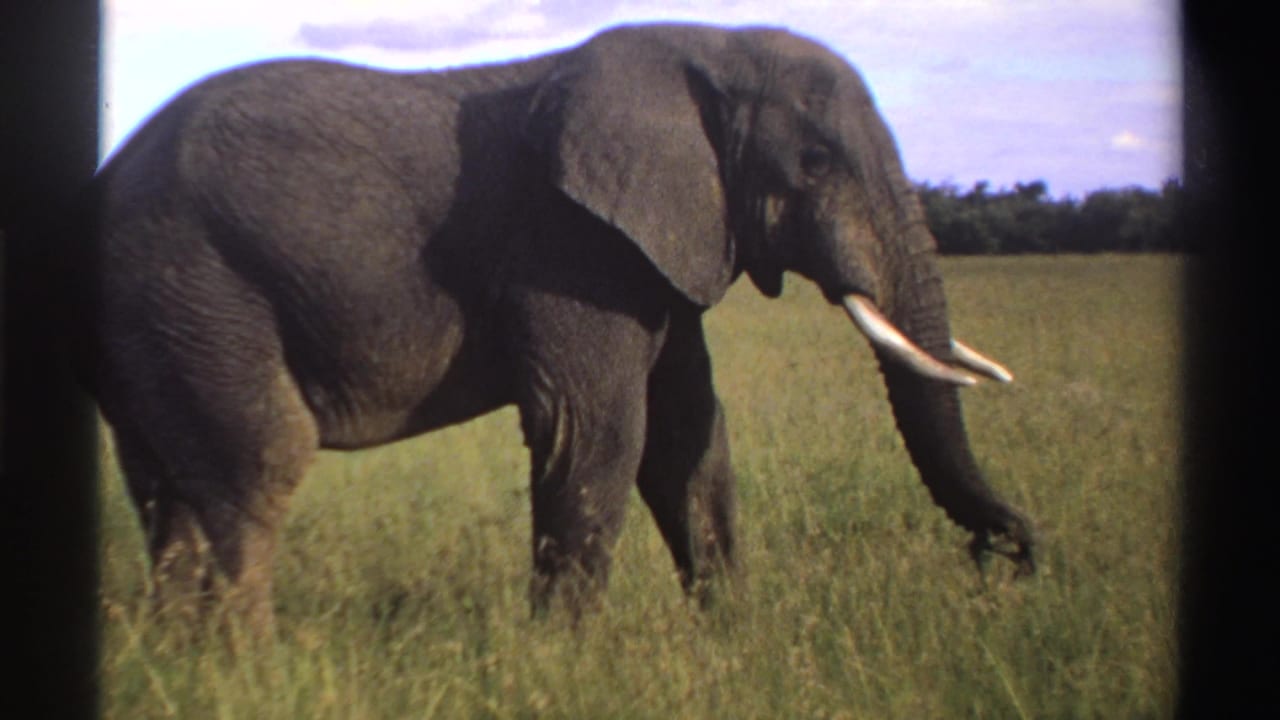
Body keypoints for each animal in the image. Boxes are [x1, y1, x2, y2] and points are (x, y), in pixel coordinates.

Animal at [69, 22, 1034, 633]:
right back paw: (251, 666)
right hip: (194, 282)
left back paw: (184, 660)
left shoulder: (649, 250)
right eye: (815, 162)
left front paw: (733, 638)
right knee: (255, 465)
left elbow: (690, 438)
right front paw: (567, 659)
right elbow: (599, 430)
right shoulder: (569, 245)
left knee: (167, 489)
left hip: (154, 316)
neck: (705, 45)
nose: (1006, 556)